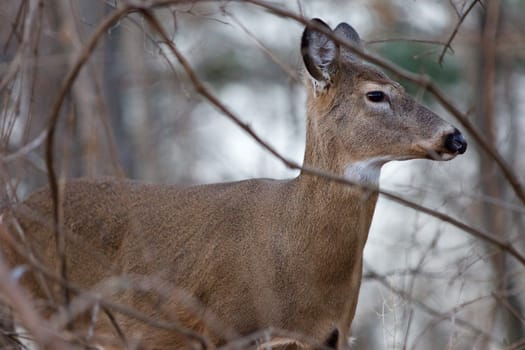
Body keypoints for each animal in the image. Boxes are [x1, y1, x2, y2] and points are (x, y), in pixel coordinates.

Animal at [1, 18, 466, 350]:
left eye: (402, 85)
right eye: (376, 95)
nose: (456, 138)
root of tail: (12, 213)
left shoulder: (330, 335)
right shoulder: (223, 326)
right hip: (45, 308)